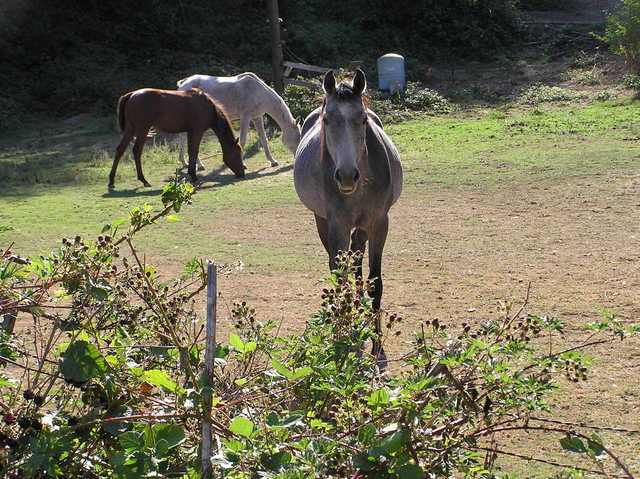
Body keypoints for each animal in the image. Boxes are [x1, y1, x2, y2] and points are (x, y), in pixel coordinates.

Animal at [109, 88, 244, 189]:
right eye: (237, 154)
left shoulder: (190, 132)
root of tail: (131, 95)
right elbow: (194, 151)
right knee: (136, 151)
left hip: (130, 130)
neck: (208, 107)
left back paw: (111, 181)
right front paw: (194, 176)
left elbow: (191, 152)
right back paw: (143, 180)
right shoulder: (197, 131)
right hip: (142, 129)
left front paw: (191, 172)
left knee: (120, 150)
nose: (242, 174)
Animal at [292, 70, 402, 360]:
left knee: (356, 258)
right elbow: (339, 279)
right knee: (337, 266)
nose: (346, 176)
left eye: (362, 119)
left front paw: (377, 344)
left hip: (362, 227)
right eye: (327, 120)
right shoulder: (337, 225)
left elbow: (375, 282)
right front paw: (342, 336)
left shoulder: (379, 222)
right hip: (322, 221)